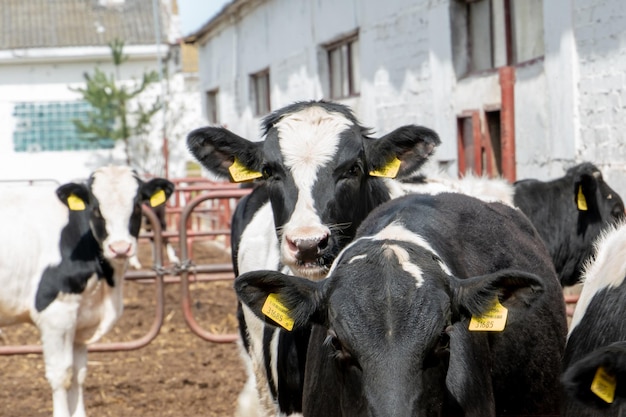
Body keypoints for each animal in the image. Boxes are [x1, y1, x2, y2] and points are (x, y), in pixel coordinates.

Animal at [0, 166, 173, 416]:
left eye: (138, 206)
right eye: (96, 208)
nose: (120, 248)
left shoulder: (81, 321)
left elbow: (78, 374)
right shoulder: (56, 315)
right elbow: (61, 375)